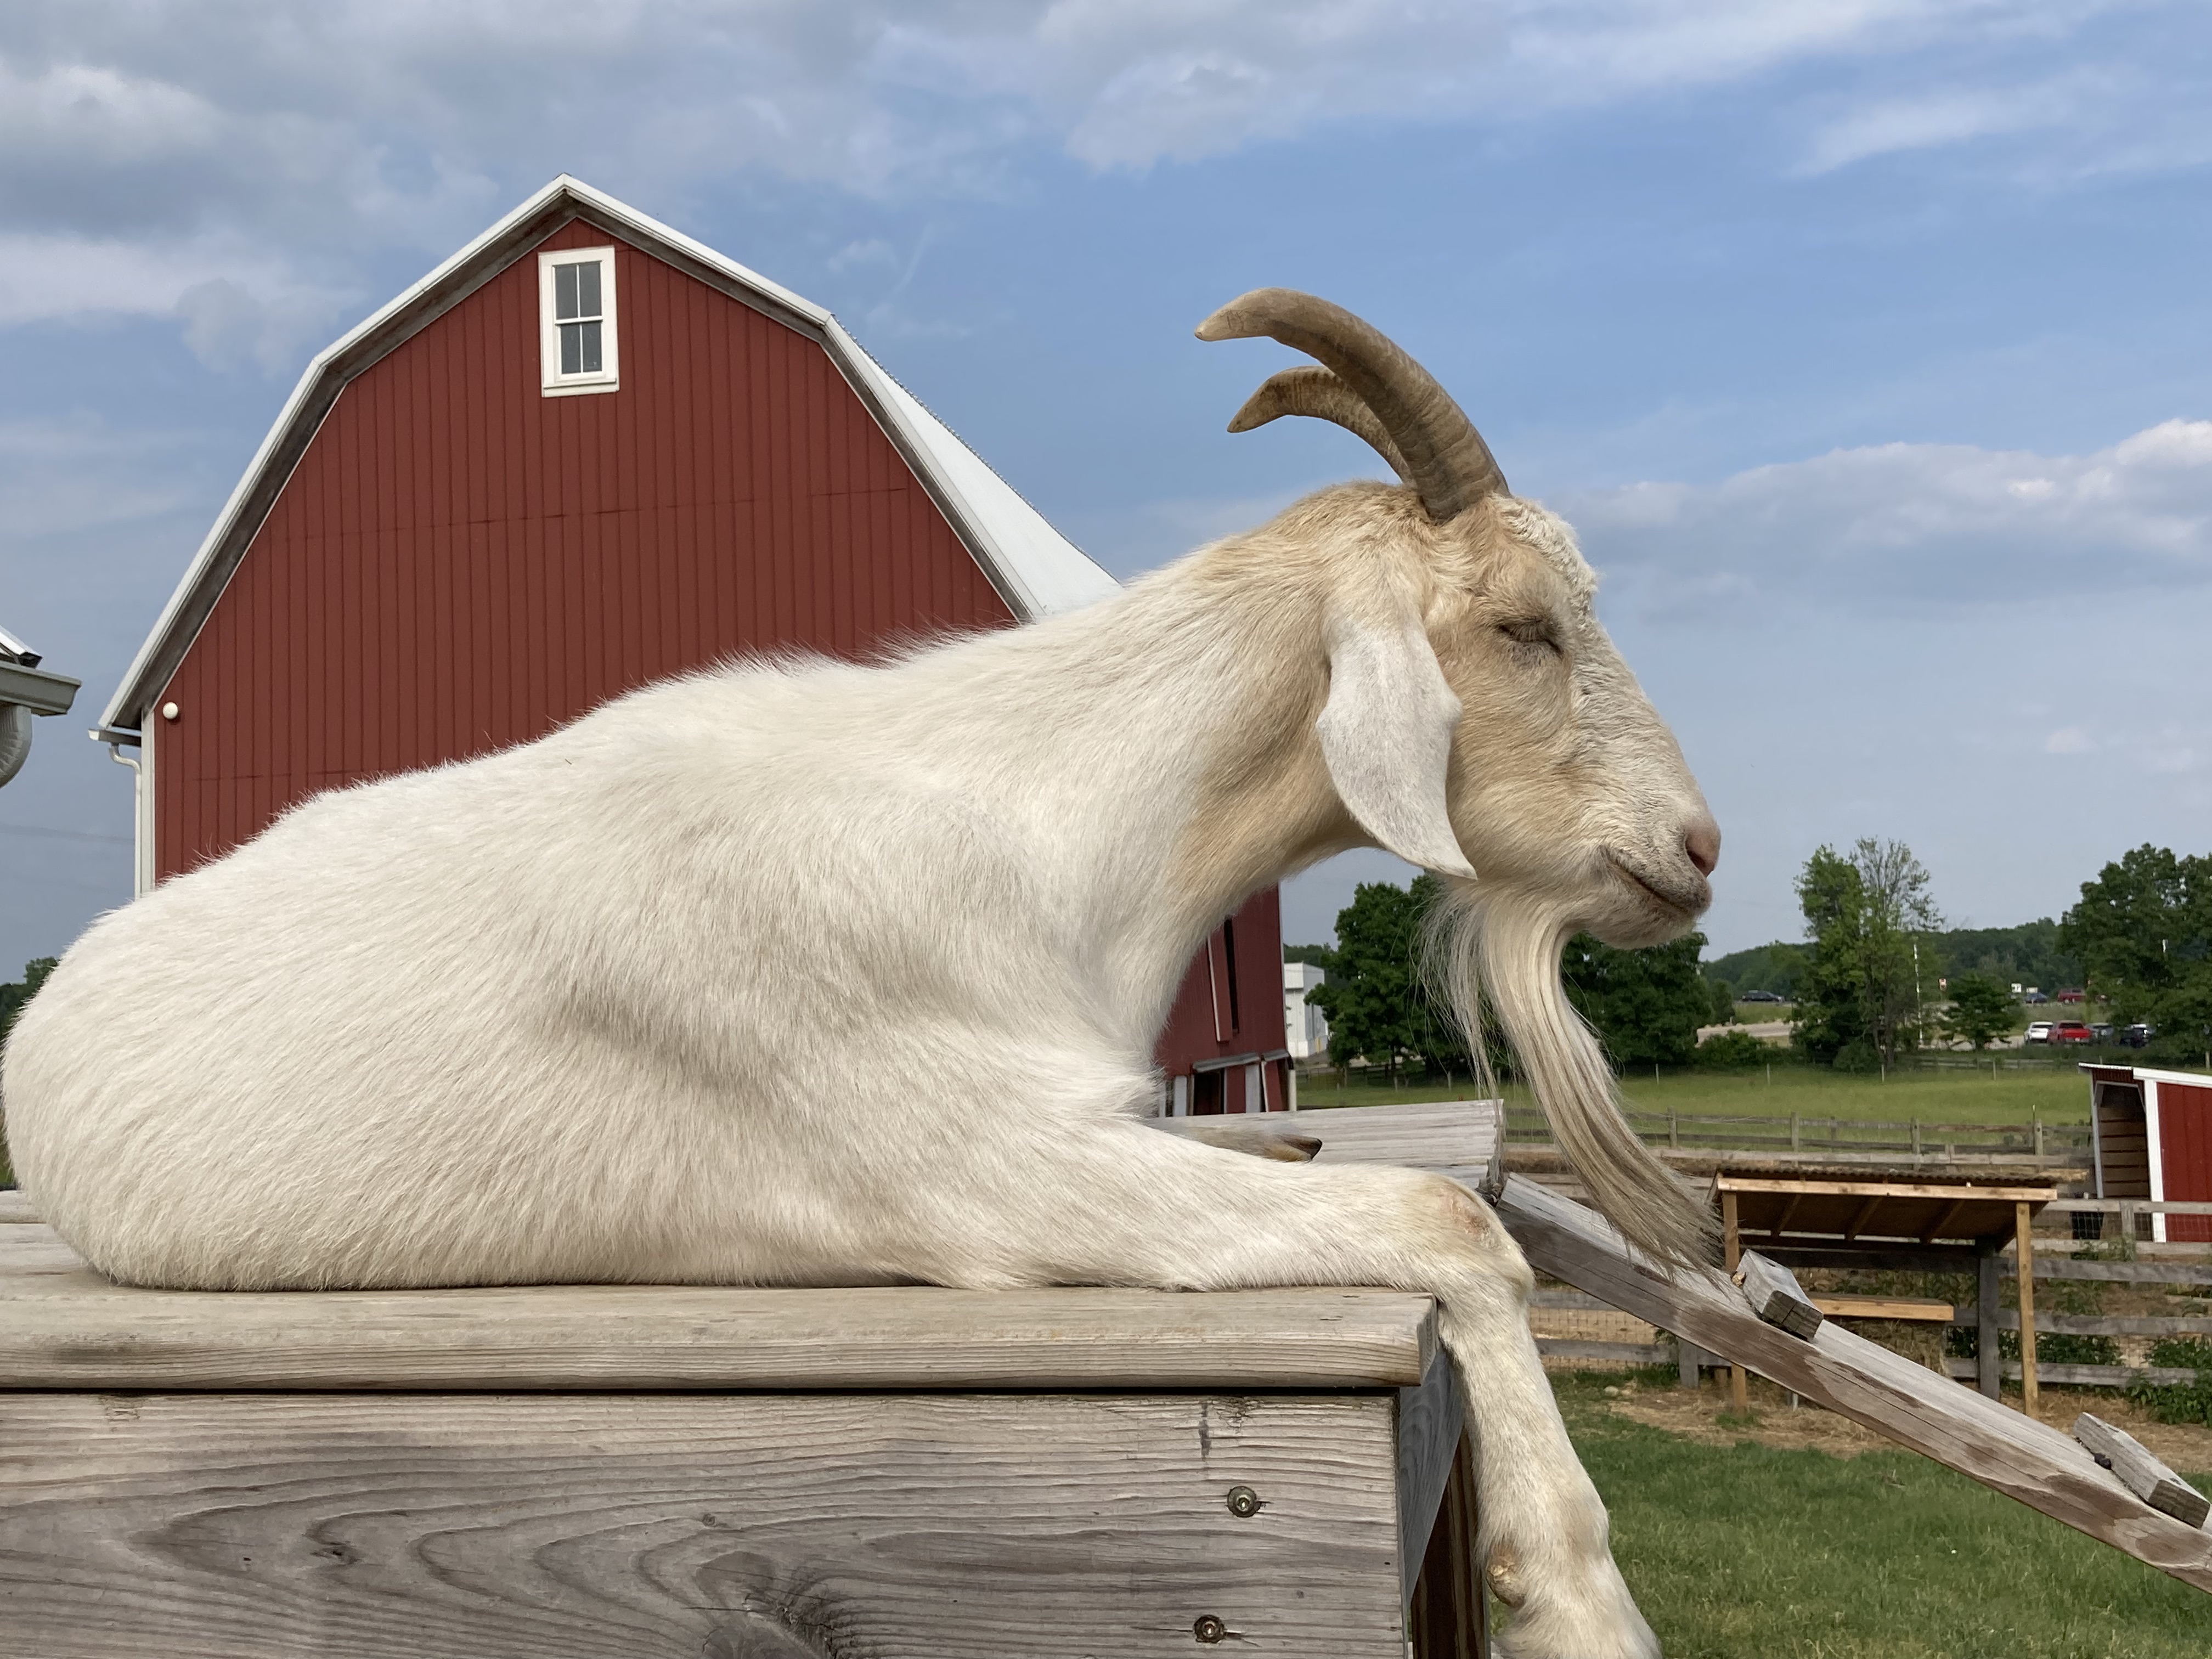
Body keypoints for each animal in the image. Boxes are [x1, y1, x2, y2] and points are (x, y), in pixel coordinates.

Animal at [8, 296, 1716, 1659]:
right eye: (1525, 627)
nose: (1692, 848)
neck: (1034, 826)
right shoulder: (996, 1177)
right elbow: (1447, 1223)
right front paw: (1576, 1604)